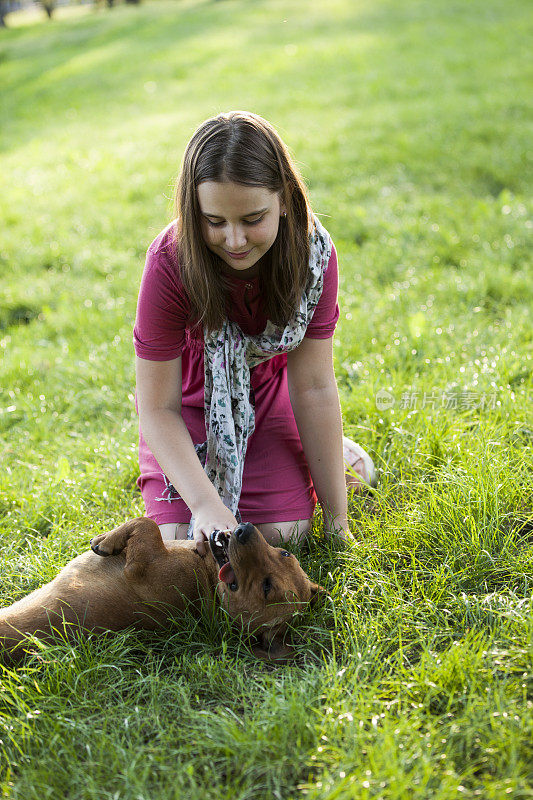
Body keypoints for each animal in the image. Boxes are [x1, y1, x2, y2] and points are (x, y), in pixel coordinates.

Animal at [0, 516, 324, 664]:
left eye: (267, 587)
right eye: (284, 553)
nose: (243, 530)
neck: (208, 584)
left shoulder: (140, 566)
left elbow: (147, 524)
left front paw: (106, 541)